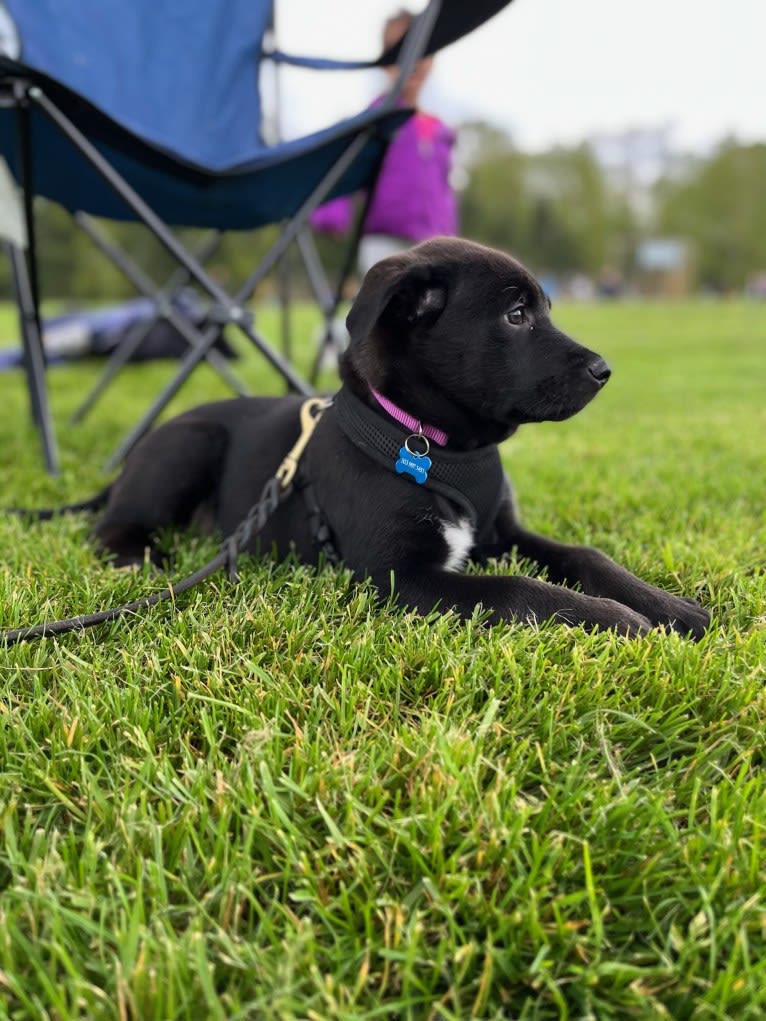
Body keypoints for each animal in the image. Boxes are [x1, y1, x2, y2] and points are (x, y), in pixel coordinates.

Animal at [92, 238, 710, 637]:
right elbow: (518, 589)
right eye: (516, 315)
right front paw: (617, 618)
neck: (440, 447)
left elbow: (585, 553)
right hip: (188, 445)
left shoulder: (500, 532)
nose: (604, 370)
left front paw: (669, 608)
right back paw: (143, 561)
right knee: (108, 528)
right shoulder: (399, 578)